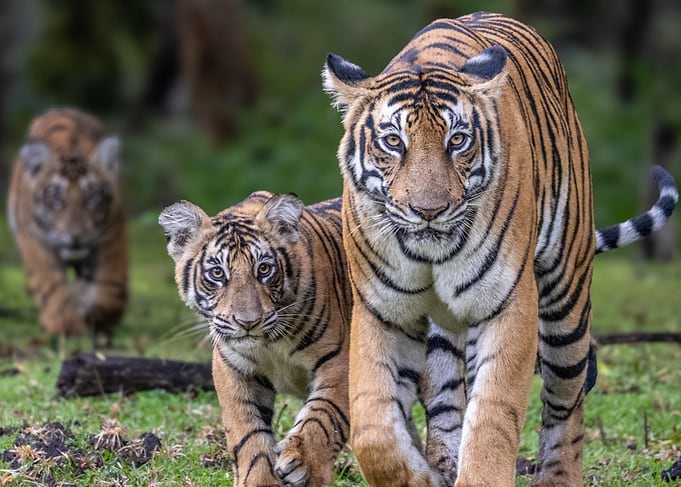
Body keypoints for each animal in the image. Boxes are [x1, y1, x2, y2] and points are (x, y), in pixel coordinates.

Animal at [7, 108, 127, 338]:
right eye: (56, 199)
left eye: (93, 198)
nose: (76, 236)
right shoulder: (35, 239)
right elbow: (51, 285)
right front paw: (65, 324)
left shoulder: (112, 234)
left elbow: (111, 287)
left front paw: (97, 316)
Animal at [159, 192, 352, 487]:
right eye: (217, 273)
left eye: (264, 269)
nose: (248, 322)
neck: (271, 343)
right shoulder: (233, 370)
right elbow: (247, 432)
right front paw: (259, 479)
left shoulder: (340, 360)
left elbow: (324, 414)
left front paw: (304, 464)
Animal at [321, 11, 678, 487]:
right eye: (393, 142)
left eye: (457, 140)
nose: (429, 210)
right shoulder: (382, 310)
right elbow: (373, 427)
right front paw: (419, 476)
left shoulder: (508, 303)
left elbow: (493, 414)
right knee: (447, 397)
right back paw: (443, 461)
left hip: (565, 298)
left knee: (566, 402)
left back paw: (557, 476)